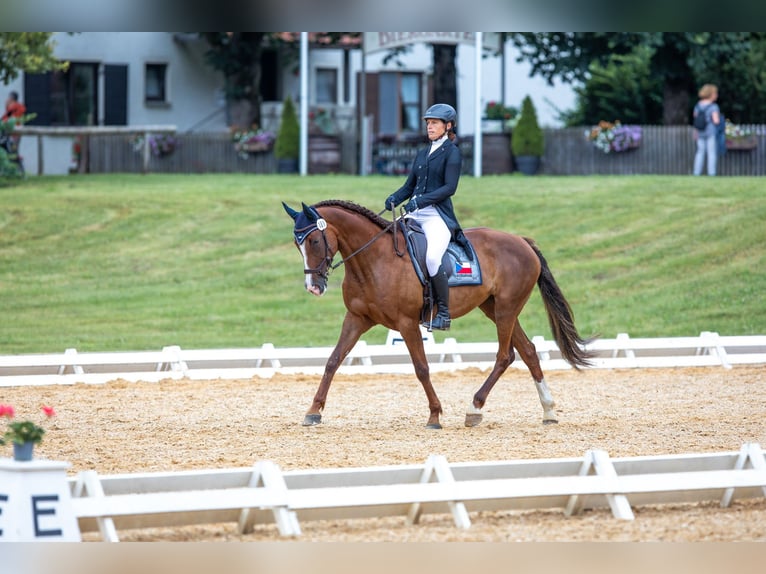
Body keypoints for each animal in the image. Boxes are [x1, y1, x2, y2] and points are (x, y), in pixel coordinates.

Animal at [283, 199, 595, 429]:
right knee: (528, 351)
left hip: (506, 309)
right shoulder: (357, 319)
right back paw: (548, 411)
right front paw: (313, 411)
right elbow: (333, 361)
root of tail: (522, 241)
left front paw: (434, 415)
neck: (373, 260)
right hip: (494, 308)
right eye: (298, 244)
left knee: (505, 355)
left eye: (313, 241)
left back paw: (474, 408)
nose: (313, 287)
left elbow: (421, 368)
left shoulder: (407, 323)